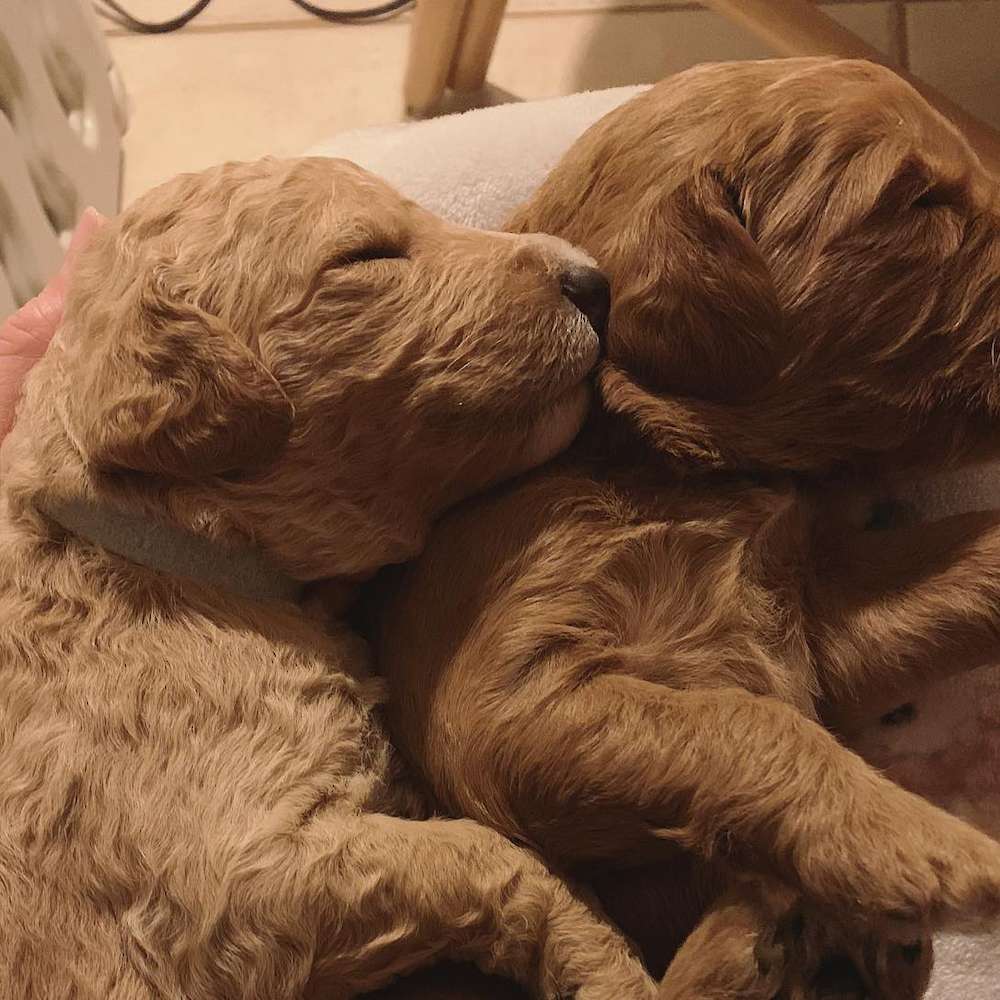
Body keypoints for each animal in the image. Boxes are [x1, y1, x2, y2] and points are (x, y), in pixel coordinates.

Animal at [372, 58, 1000, 996]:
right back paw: (765, 932)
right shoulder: (500, 699)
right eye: (921, 201)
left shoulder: (811, 621)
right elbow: (741, 723)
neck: (658, 460)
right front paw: (928, 849)